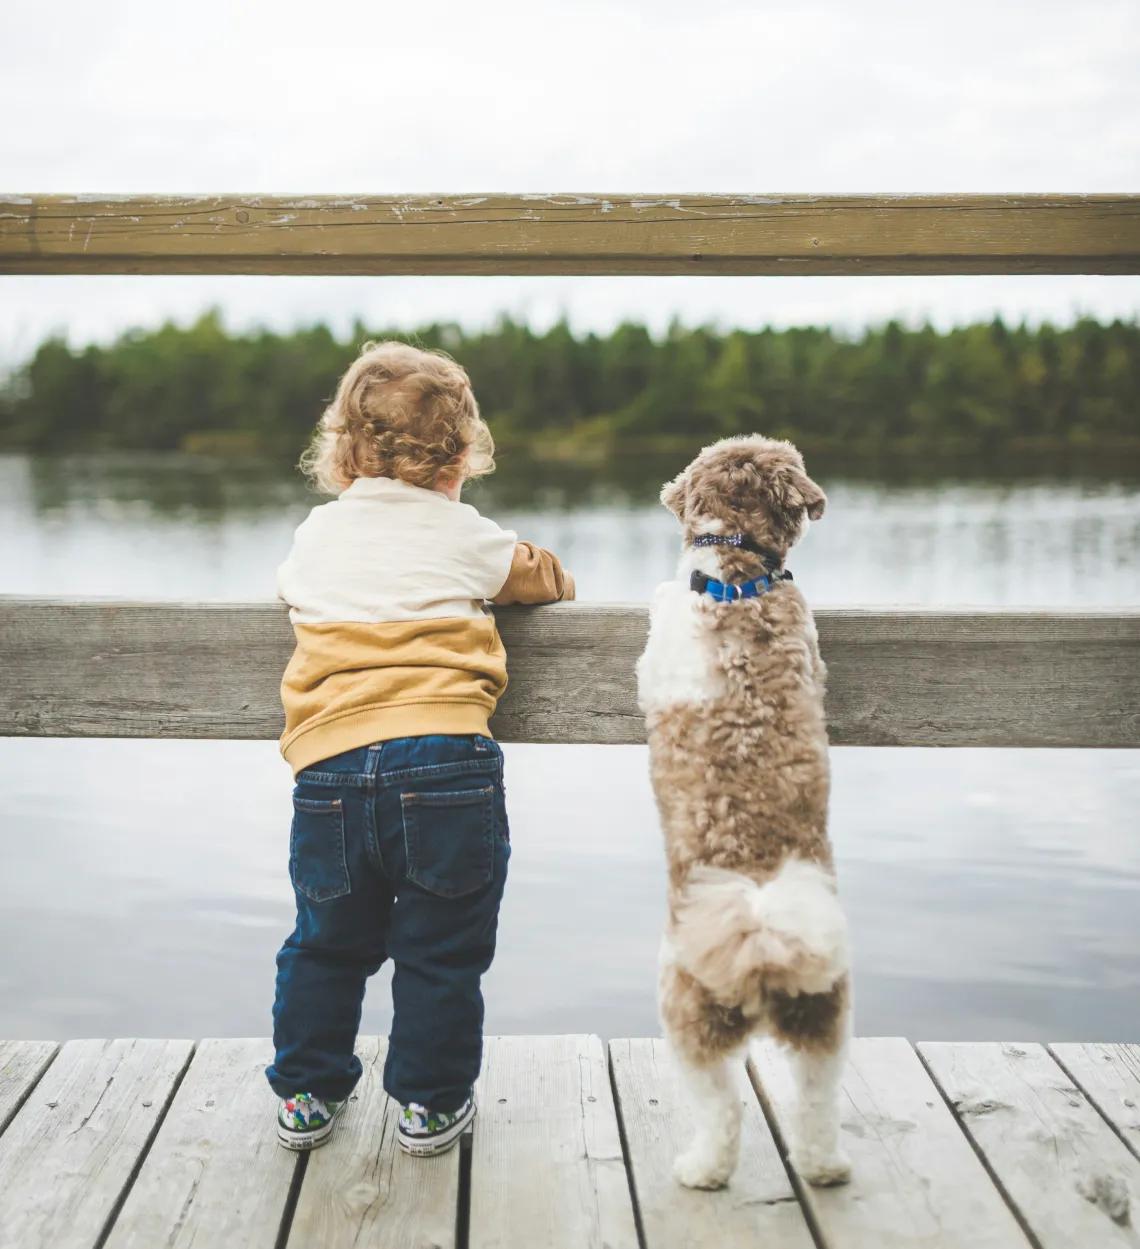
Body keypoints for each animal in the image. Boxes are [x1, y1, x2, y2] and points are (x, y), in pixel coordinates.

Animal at [636, 437, 849, 1189]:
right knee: (816, 1101)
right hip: (823, 1020)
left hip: (687, 1015)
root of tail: (761, 946)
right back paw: (824, 1166)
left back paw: (701, 1168)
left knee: (722, 1108)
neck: (740, 575)